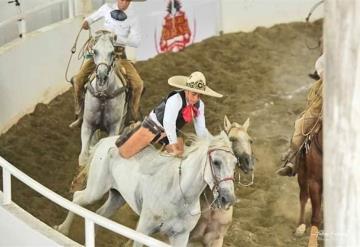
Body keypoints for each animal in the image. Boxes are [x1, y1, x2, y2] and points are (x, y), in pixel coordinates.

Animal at [54, 130, 238, 246]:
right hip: (95, 190)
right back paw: (62, 229)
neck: (179, 196)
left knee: (100, 215)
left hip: (117, 197)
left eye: (235, 163)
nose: (228, 198)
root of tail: (107, 140)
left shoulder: (181, 237)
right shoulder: (143, 230)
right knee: (78, 198)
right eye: (216, 162)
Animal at [79, 30, 128, 166]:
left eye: (112, 52)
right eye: (95, 51)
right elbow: (83, 156)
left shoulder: (114, 128)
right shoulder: (87, 125)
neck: (103, 96)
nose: (101, 77)